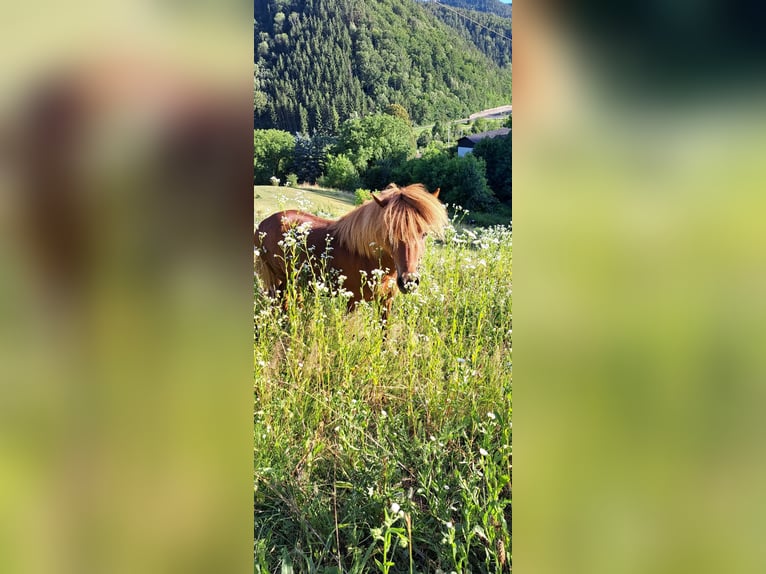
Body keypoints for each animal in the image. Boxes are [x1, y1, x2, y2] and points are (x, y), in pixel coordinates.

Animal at [254, 184, 448, 317]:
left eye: (424, 234)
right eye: (389, 233)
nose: (409, 281)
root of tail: (263, 224)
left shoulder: (386, 302)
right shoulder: (352, 302)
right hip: (278, 280)